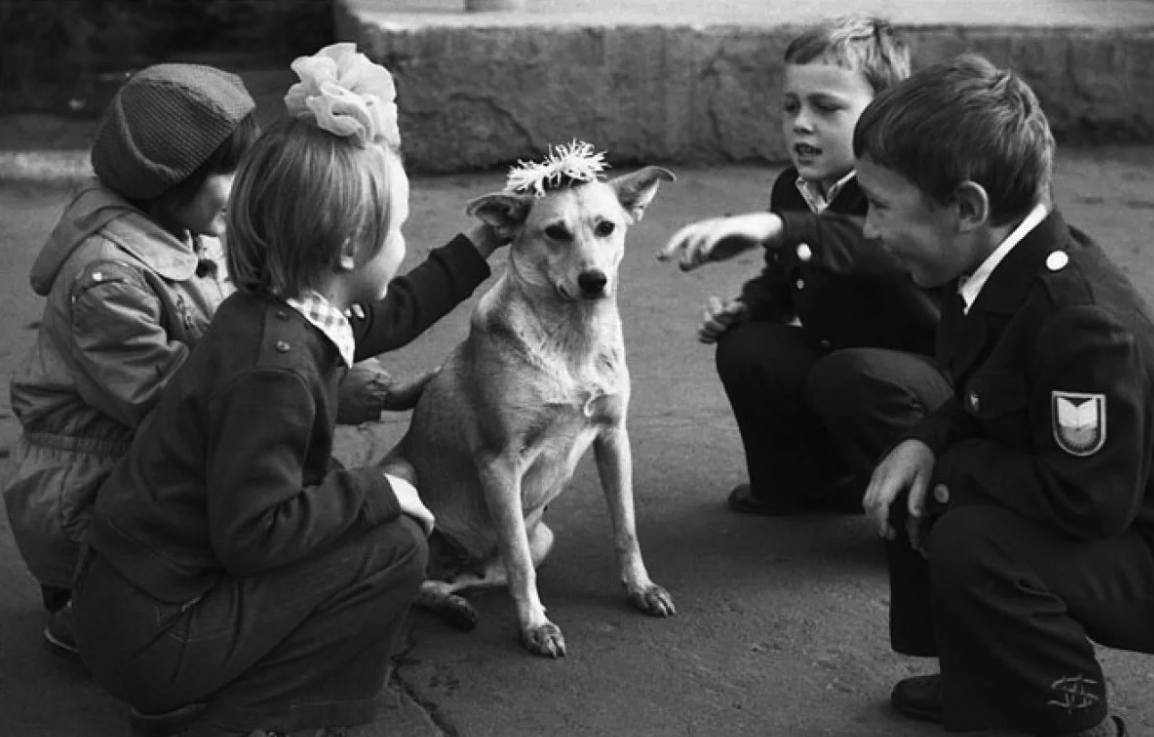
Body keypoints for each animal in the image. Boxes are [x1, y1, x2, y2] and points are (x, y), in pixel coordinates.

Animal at [390, 162, 673, 655]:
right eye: (555, 232)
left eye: (606, 227)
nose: (594, 280)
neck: (573, 340)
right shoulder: (499, 464)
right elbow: (519, 563)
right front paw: (535, 627)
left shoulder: (613, 437)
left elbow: (627, 527)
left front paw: (641, 588)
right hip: (404, 474)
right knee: (428, 582)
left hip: (542, 538)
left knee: (449, 581)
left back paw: (456, 606)